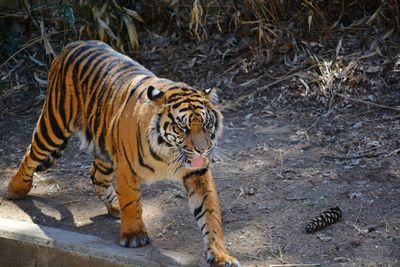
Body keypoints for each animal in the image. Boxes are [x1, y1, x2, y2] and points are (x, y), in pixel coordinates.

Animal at [6, 40, 239, 267]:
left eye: (206, 124)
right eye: (183, 127)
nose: (202, 149)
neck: (169, 153)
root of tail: (72, 44)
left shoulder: (198, 173)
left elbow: (210, 214)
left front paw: (220, 255)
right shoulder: (127, 170)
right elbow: (131, 202)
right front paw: (134, 235)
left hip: (105, 147)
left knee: (96, 176)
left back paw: (114, 207)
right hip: (54, 125)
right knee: (31, 153)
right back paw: (16, 189)